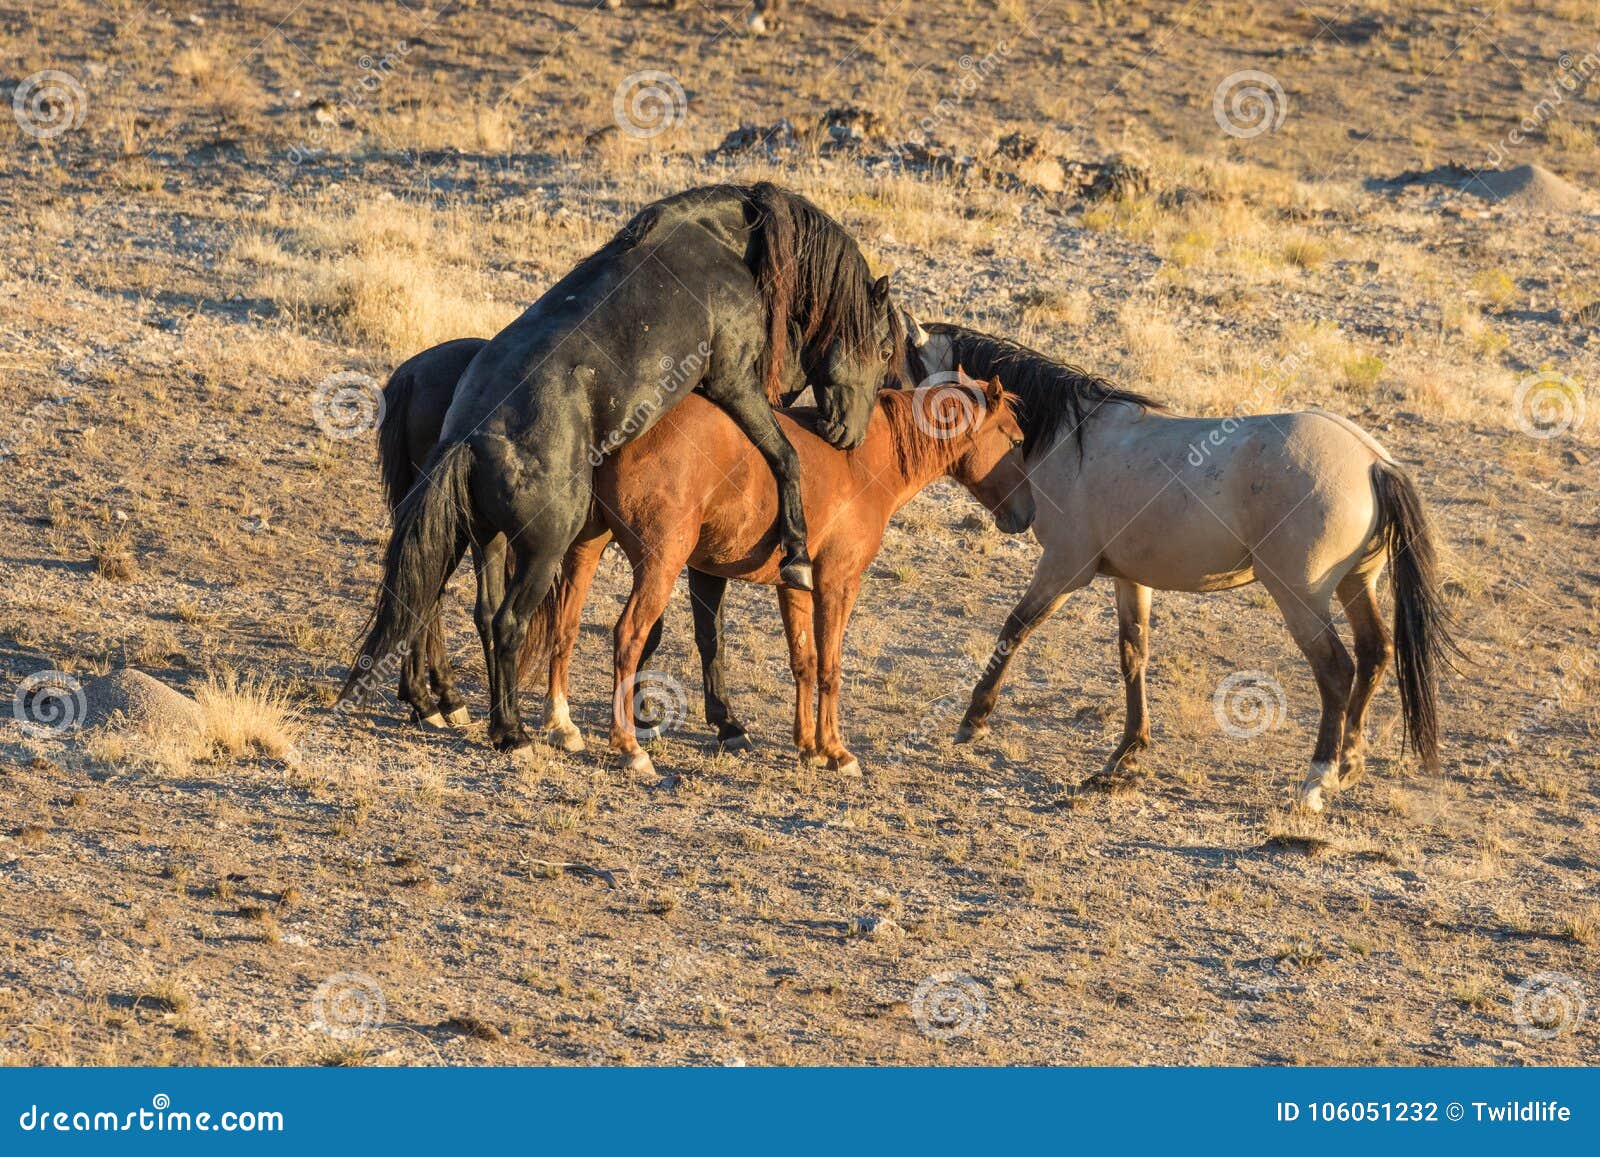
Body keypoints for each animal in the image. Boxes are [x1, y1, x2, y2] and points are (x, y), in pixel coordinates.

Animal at [339, 183, 908, 761]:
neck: (722, 240)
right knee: (503, 622)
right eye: (885, 347)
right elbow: (784, 458)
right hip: (542, 550)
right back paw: (509, 732)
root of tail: (470, 438)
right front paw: (795, 554)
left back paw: (444, 704)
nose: (849, 435)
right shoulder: (732, 381)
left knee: (454, 607)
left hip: (481, 539)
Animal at [518, 380, 1030, 777]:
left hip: (586, 550)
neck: (863, 459)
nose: (1026, 516)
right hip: (659, 565)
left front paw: (808, 746)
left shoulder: (795, 587)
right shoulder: (838, 585)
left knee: (566, 628)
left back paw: (560, 723)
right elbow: (830, 668)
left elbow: (804, 661)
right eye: (1015, 440)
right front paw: (836, 750)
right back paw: (629, 746)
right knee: (628, 638)